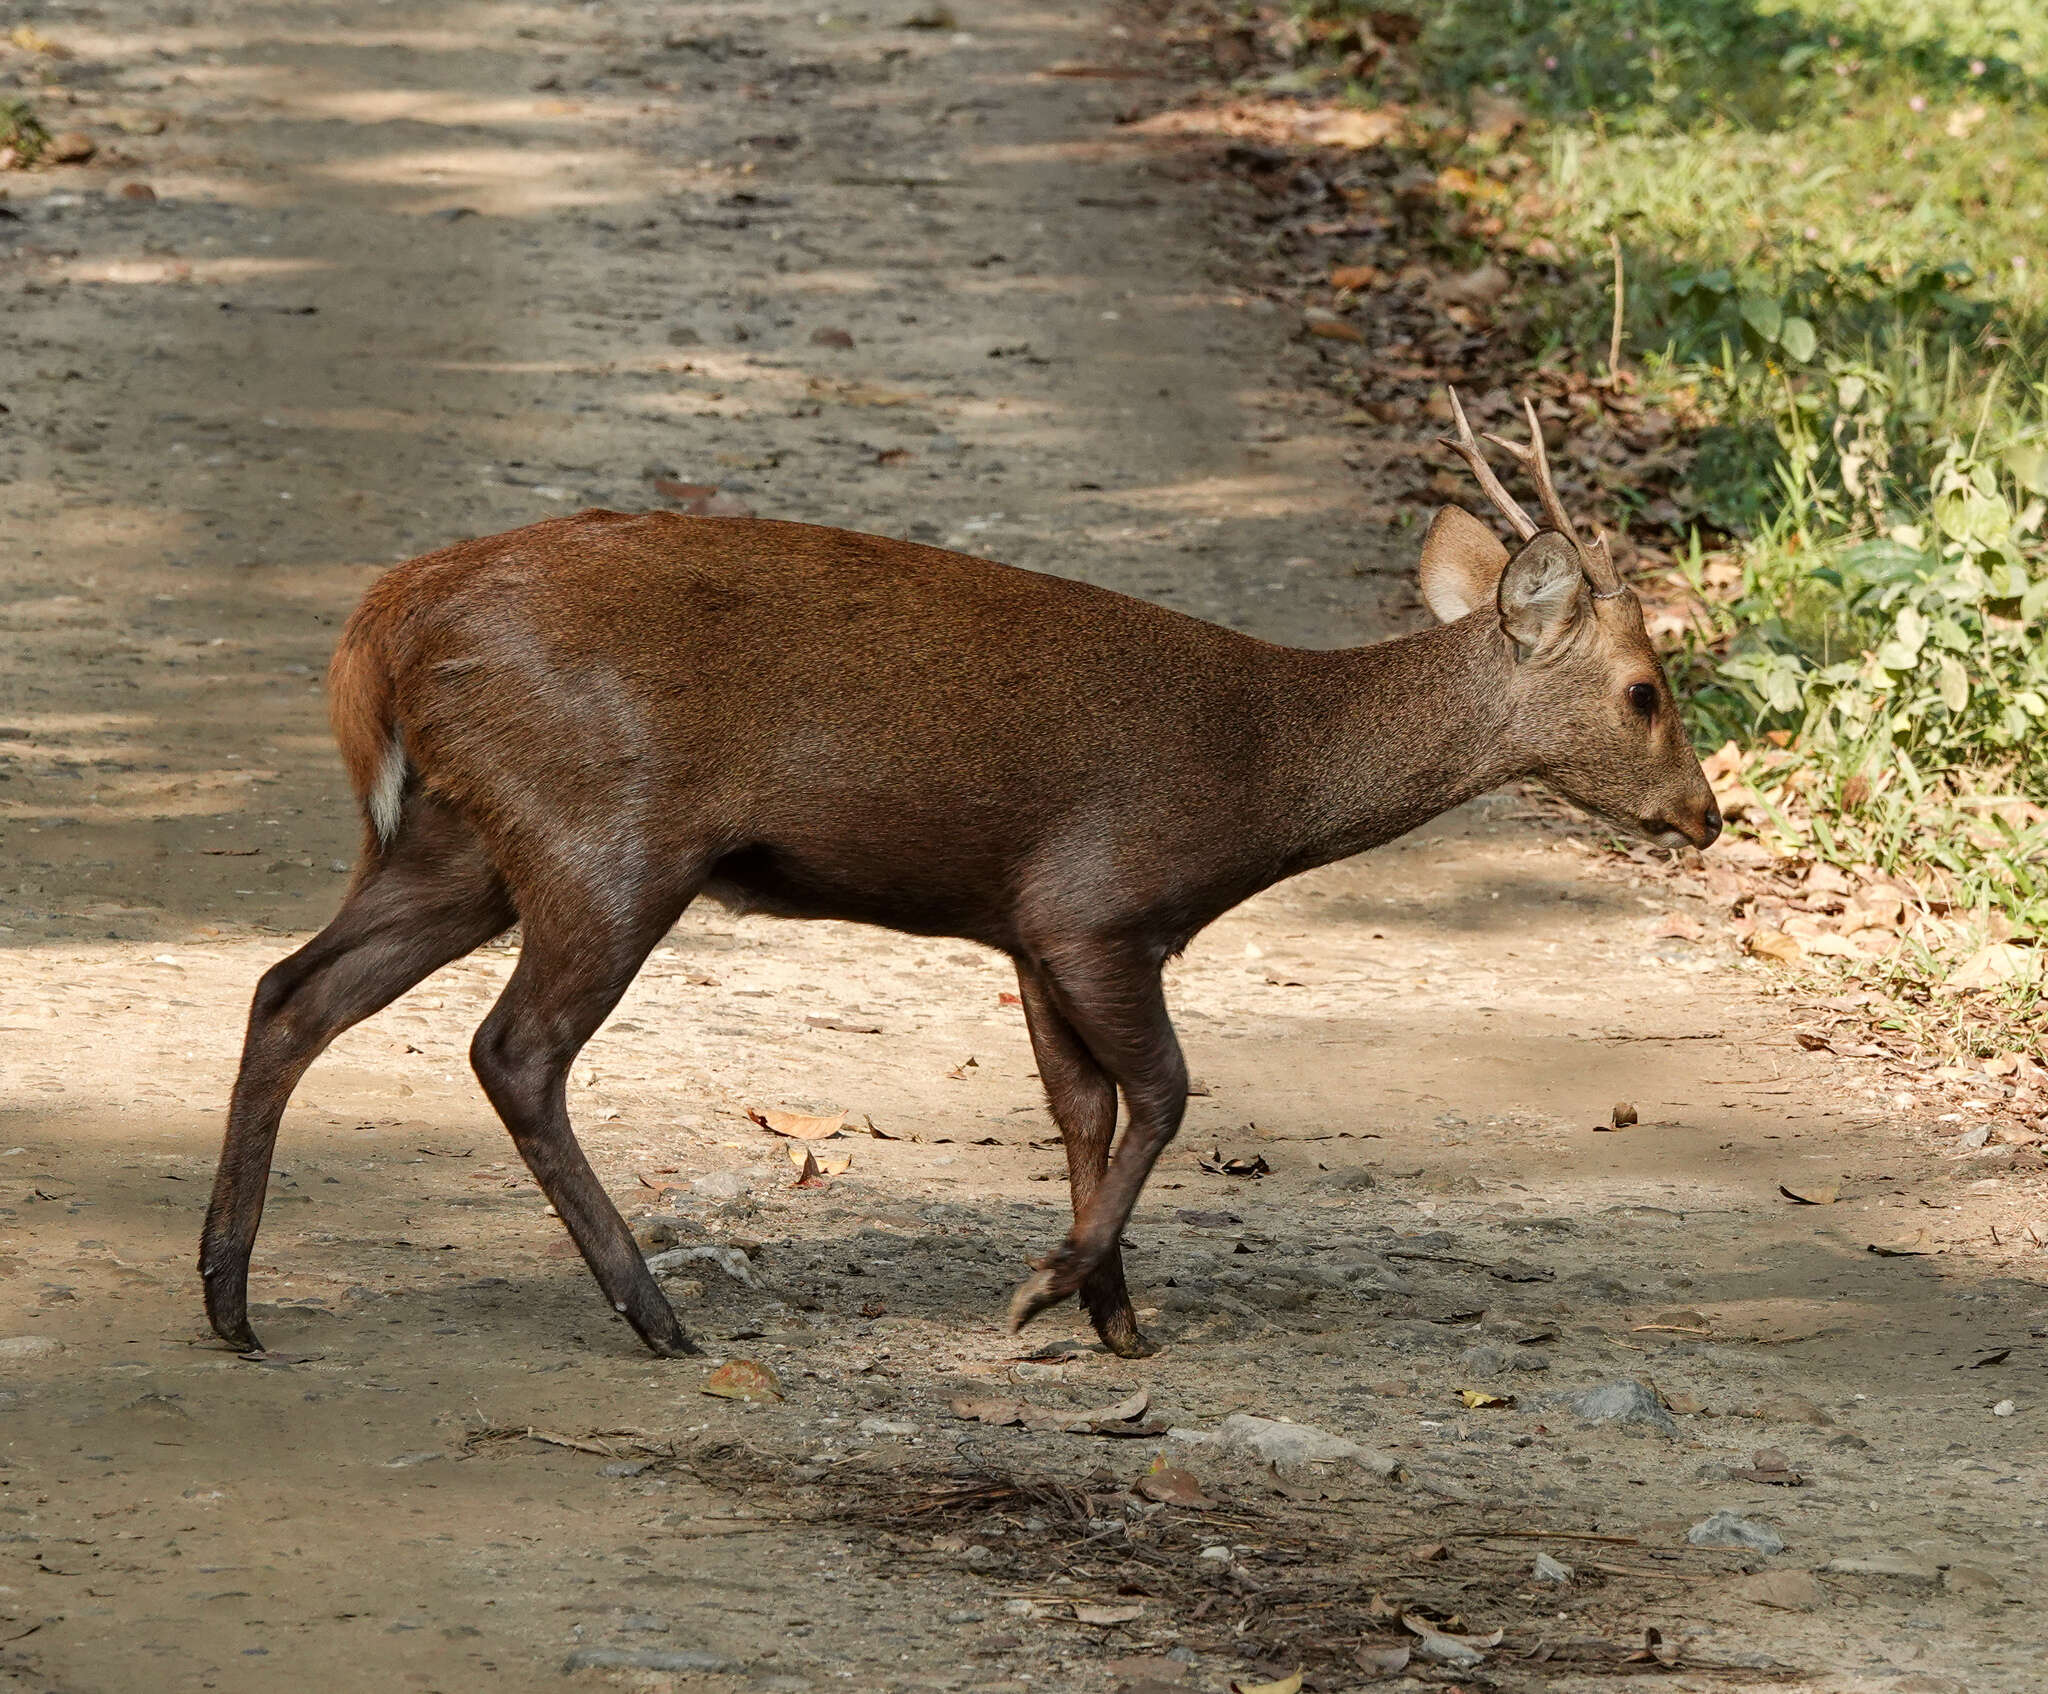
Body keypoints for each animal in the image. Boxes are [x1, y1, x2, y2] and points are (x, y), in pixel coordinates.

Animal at [203, 391, 1712, 1360]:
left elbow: (1081, 1111)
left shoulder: (1032, 932)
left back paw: (229, 1297)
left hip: (463, 838)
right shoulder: (1098, 902)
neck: (1260, 788)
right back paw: (654, 1312)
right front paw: (1053, 1292)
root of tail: (389, 620)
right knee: (512, 1048)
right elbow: (1163, 1094)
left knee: (290, 988)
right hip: (604, 836)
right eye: (1645, 691)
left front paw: (1112, 1312)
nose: (1702, 815)